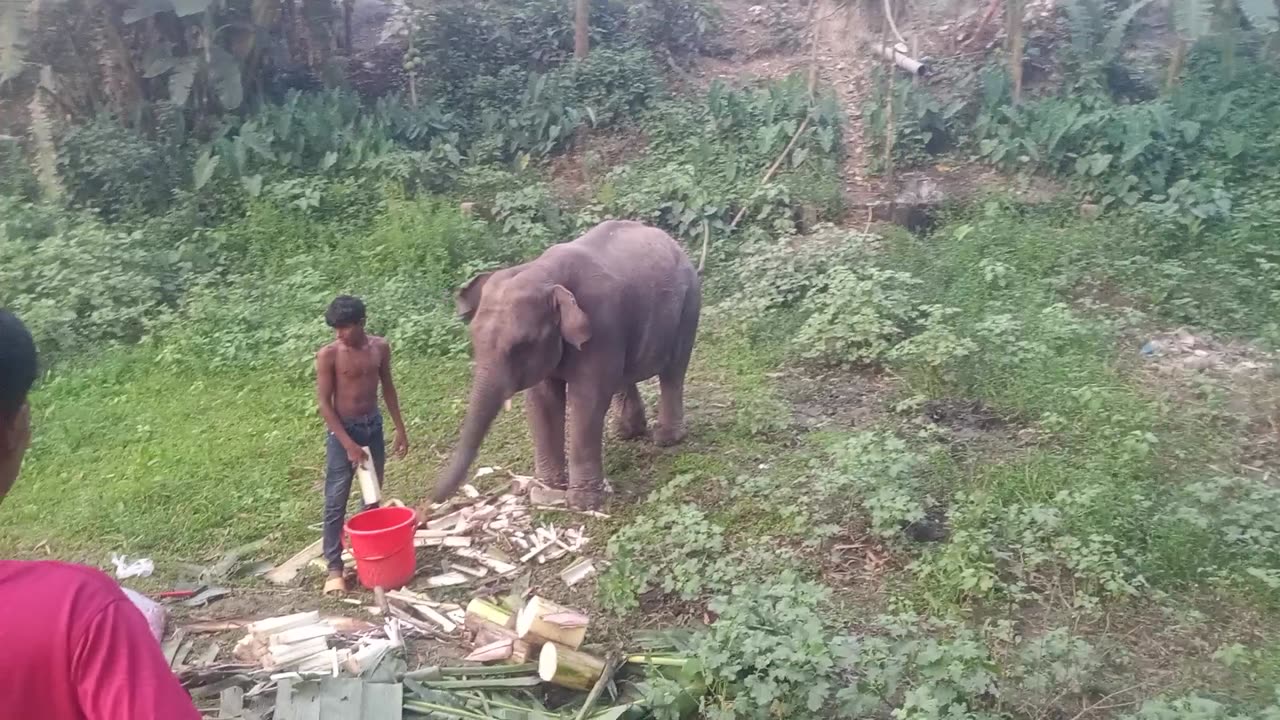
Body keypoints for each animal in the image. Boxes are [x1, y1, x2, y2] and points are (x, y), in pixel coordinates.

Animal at [435, 220, 706, 509]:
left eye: (522, 345)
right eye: (473, 339)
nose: (432, 501)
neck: (543, 271)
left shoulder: (601, 325)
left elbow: (587, 399)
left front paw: (582, 503)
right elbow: (543, 401)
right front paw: (547, 489)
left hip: (689, 306)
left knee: (673, 371)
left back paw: (666, 439)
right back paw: (625, 433)